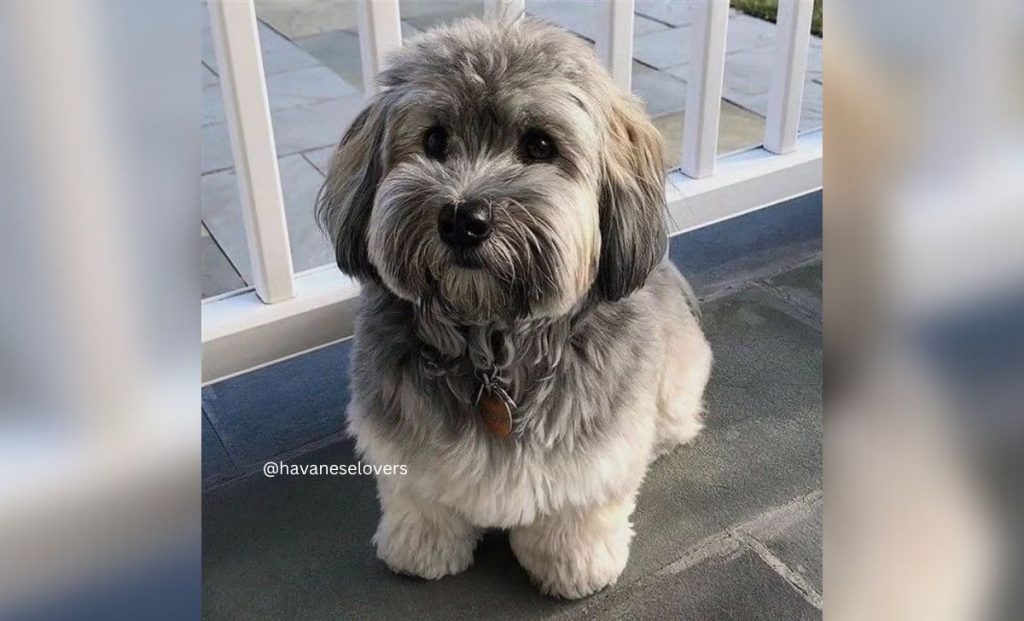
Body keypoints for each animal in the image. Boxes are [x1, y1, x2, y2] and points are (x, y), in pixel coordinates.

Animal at [317, 15, 712, 602]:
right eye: (435, 139)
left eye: (539, 145)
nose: (463, 219)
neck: (492, 342)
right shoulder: (403, 441)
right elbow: (422, 498)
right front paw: (422, 549)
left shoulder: (593, 450)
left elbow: (578, 510)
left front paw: (575, 565)